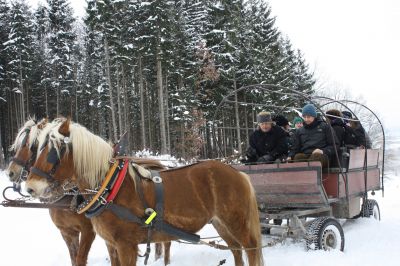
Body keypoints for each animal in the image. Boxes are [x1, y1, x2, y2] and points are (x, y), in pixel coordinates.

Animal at [25, 119, 262, 266]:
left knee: (250, 249)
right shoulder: (111, 245)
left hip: (236, 222)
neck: (109, 188)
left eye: (55, 151)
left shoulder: (126, 246)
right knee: (236, 250)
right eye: (36, 148)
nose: (30, 187)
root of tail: (237, 172)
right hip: (220, 223)